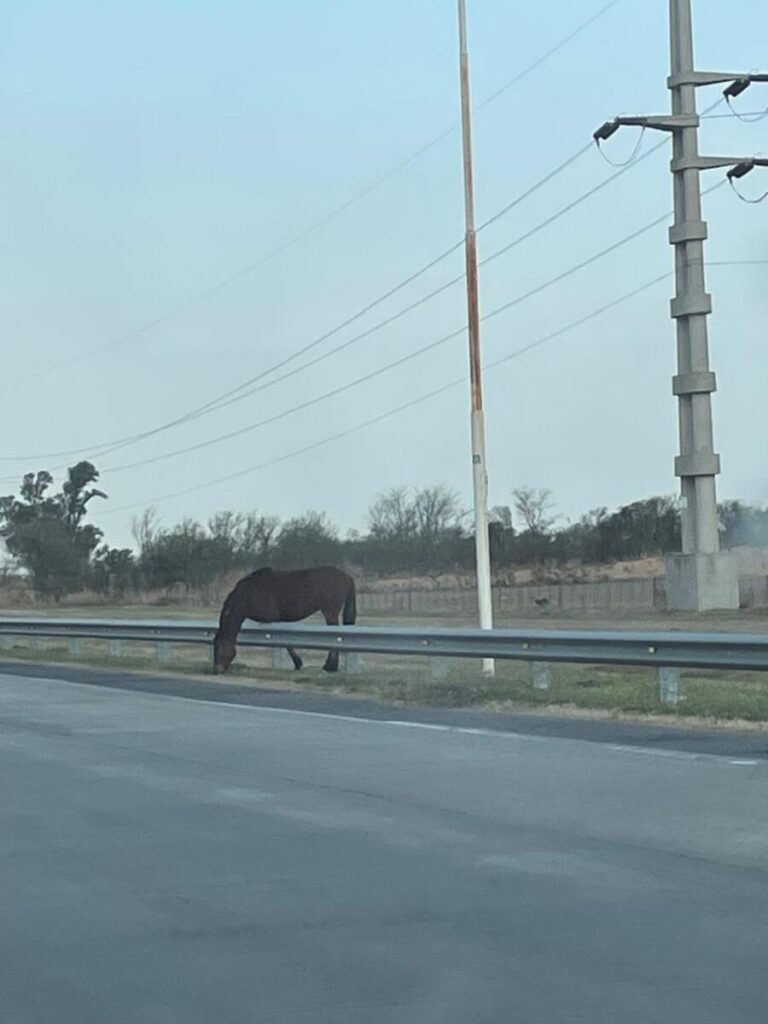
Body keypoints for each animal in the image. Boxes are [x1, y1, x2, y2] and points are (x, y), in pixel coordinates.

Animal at [214, 565, 358, 675]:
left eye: (220, 646)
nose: (217, 669)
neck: (248, 594)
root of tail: (347, 577)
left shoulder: (274, 619)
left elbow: (285, 642)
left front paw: (298, 663)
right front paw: (298, 663)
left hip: (330, 612)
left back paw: (330, 666)